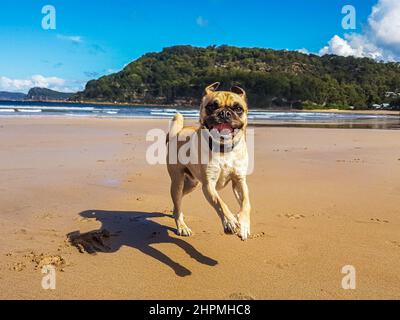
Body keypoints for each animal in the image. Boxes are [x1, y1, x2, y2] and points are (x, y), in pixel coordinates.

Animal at [166, 82, 250, 240]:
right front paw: (230, 221)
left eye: (238, 108)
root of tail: (177, 133)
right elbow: (220, 203)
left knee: (178, 201)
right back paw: (182, 226)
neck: (223, 149)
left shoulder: (239, 181)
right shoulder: (208, 185)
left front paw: (244, 225)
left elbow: (246, 204)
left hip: (191, 184)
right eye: (211, 106)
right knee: (177, 198)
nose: (224, 113)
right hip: (177, 182)